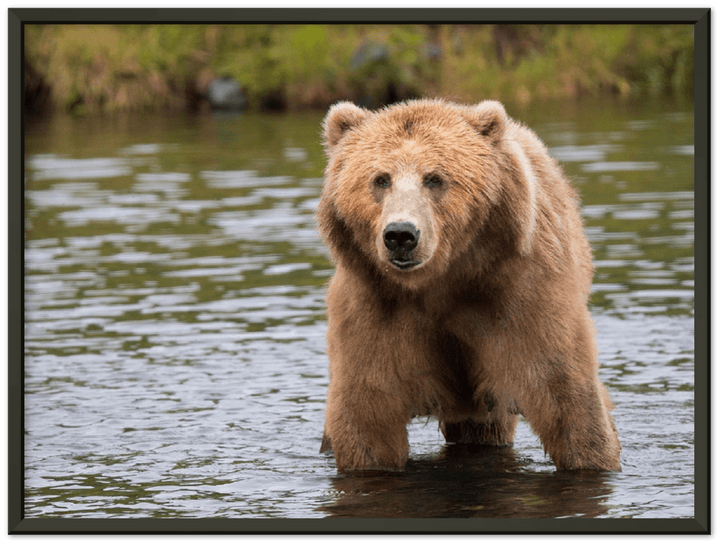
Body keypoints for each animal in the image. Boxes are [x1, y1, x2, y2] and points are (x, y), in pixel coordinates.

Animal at [315, 98, 621, 472]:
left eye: (434, 178)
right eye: (380, 179)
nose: (401, 234)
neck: (443, 281)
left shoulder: (522, 297)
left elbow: (566, 396)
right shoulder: (375, 308)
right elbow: (368, 414)